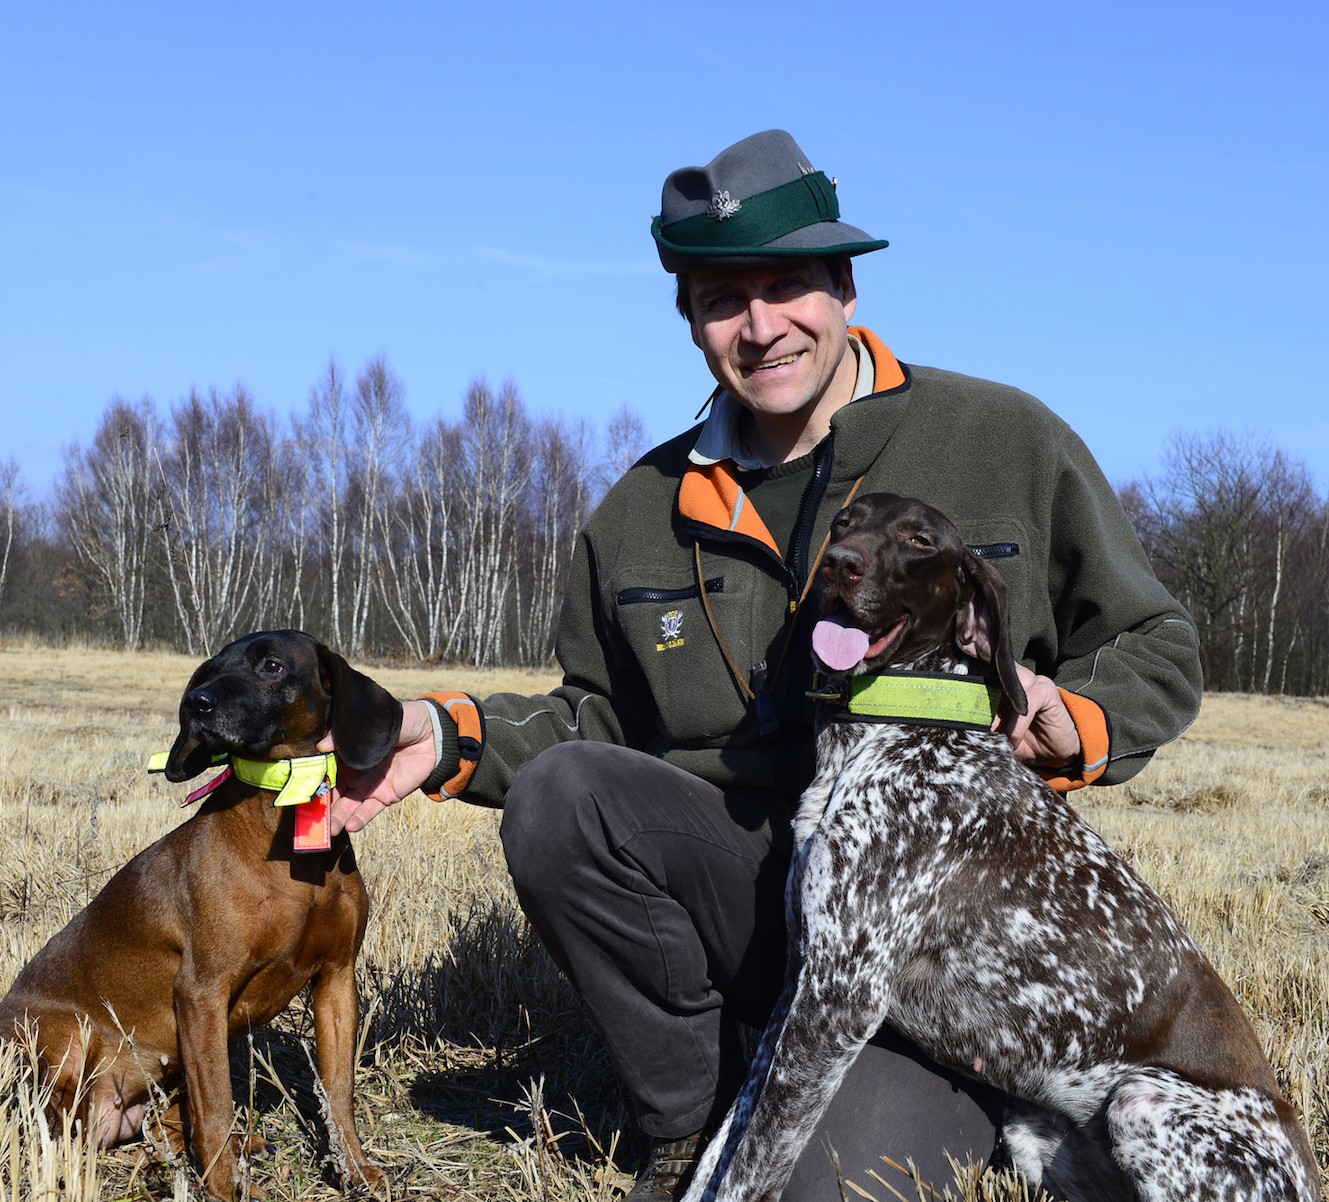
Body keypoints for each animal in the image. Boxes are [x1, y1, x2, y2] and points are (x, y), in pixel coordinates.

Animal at [0, 632, 398, 1196]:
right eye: (208, 671)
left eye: (272, 665)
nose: (196, 703)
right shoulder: (201, 991)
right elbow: (215, 1106)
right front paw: (228, 1187)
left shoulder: (337, 980)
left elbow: (339, 1092)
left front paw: (356, 1170)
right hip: (66, 1037)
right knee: (61, 1131)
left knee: (156, 1122)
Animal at [685, 491, 1318, 1202]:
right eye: (844, 523)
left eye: (920, 541)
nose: (840, 564)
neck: (890, 729)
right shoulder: (802, 978)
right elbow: (726, 1144)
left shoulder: (840, 997)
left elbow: (753, 1165)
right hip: (1031, 1130)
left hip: (1142, 1103)